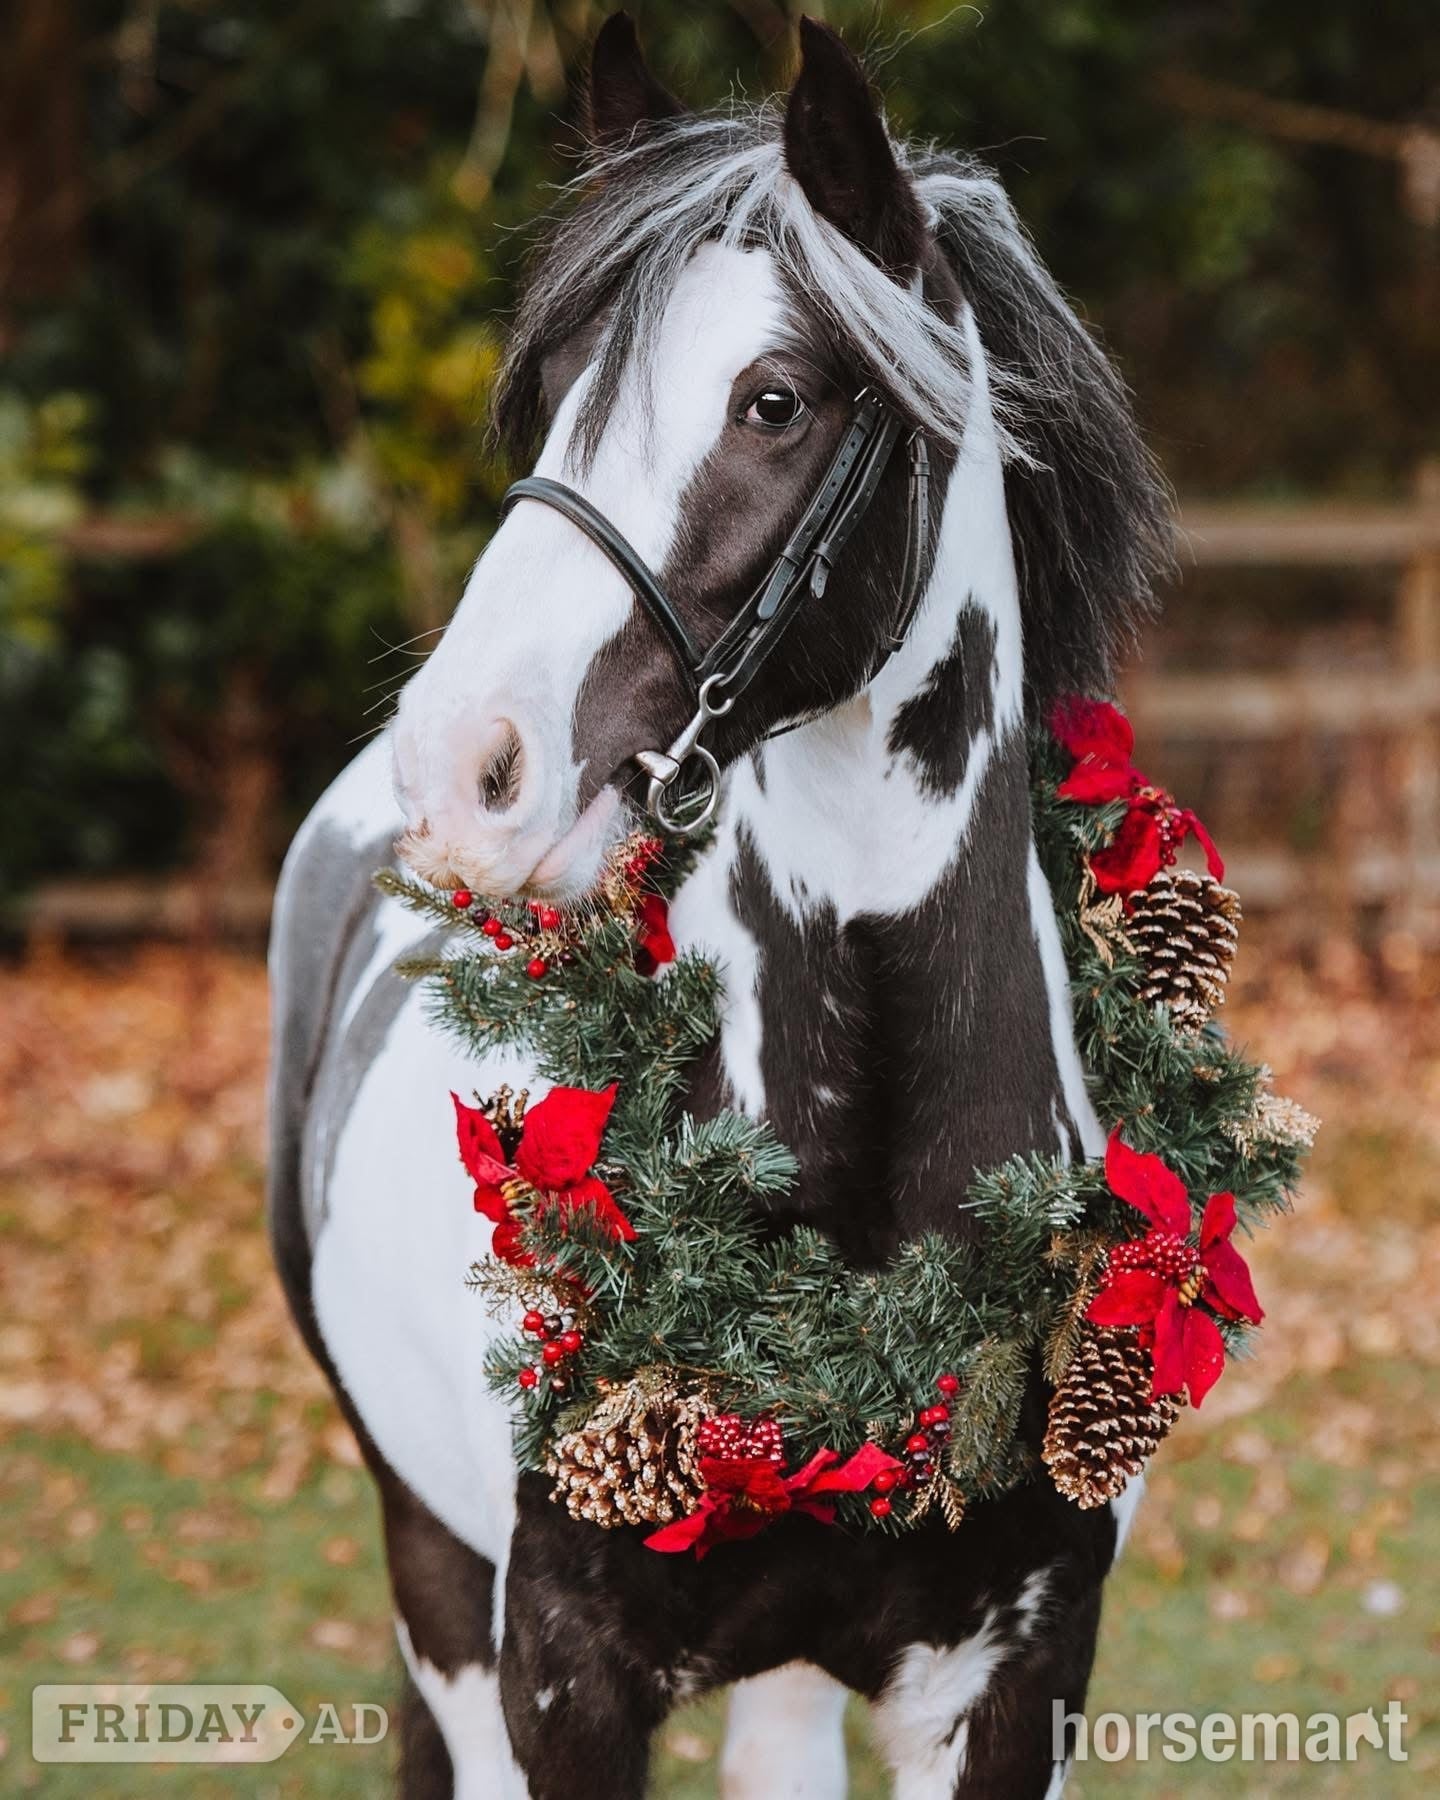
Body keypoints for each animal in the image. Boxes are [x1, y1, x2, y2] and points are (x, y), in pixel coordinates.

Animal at [267, 15, 1174, 1797]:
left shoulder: (1017, 1680)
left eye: (774, 399)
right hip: (433, 1578)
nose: (464, 767)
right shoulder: (562, 1676)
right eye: (553, 391)